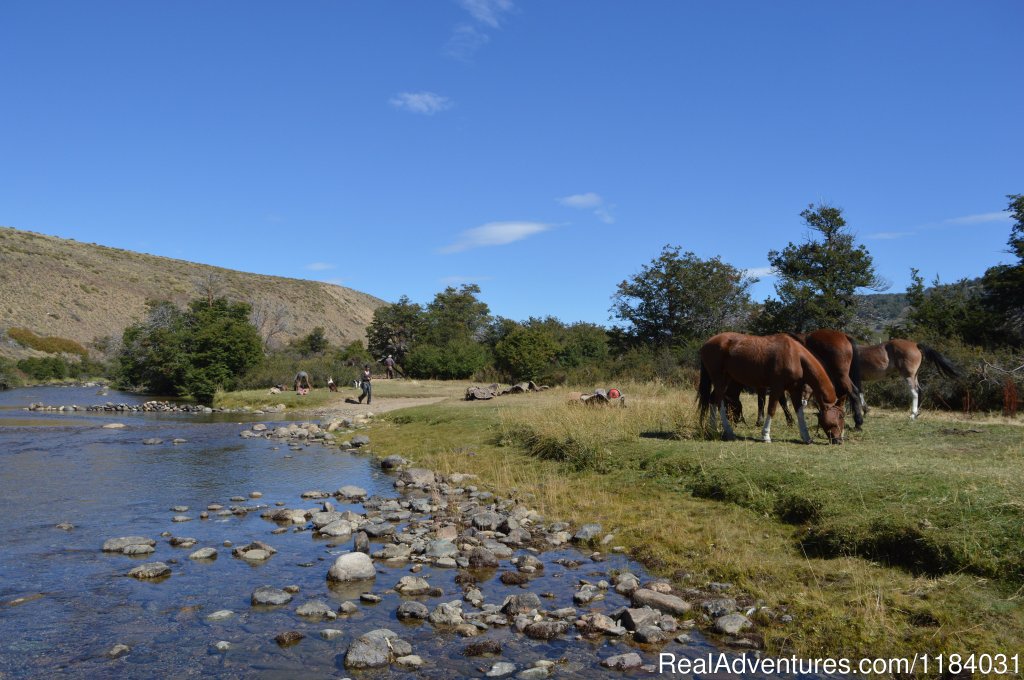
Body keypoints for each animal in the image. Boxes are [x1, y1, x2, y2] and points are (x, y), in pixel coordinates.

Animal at [700, 331, 843, 444]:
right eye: (840, 417)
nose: (839, 440)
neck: (795, 355)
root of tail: (707, 342)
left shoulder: (795, 390)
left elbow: (799, 412)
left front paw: (806, 437)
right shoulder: (777, 388)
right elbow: (771, 409)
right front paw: (766, 436)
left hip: (725, 380)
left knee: (714, 400)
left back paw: (718, 431)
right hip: (719, 379)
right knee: (717, 401)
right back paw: (723, 431)